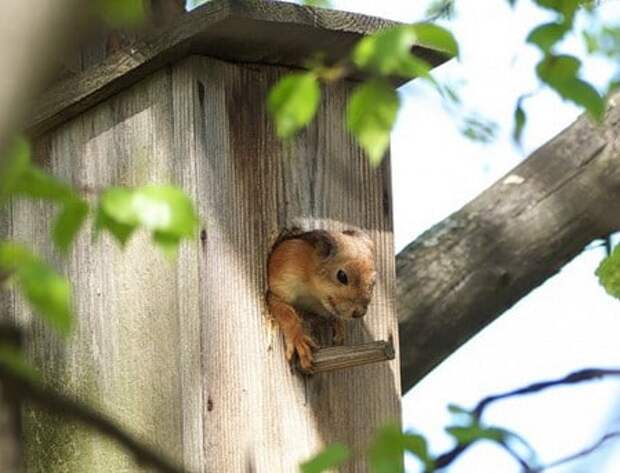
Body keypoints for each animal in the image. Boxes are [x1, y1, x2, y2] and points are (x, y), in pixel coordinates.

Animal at [266, 230, 376, 372]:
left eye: (373, 282)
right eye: (342, 276)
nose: (359, 313)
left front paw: (339, 327)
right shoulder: (283, 270)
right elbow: (285, 312)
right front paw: (298, 339)